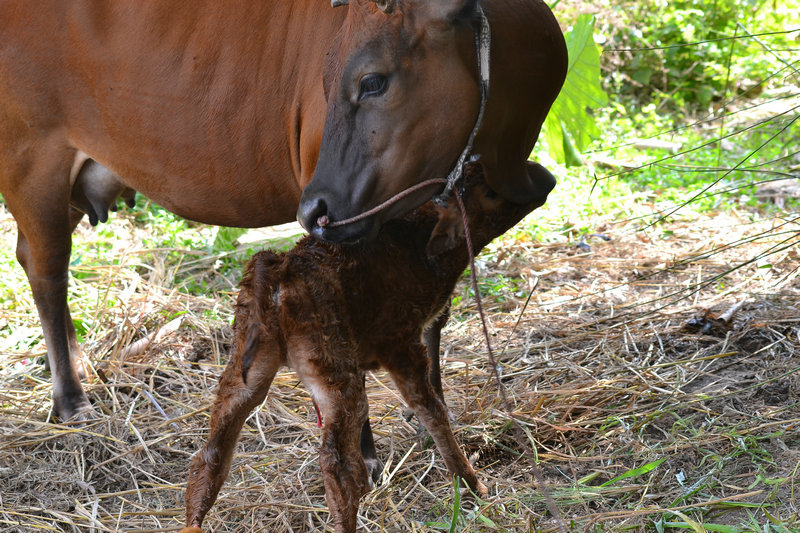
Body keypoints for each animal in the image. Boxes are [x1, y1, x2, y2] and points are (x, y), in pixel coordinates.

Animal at [0, 0, 564, 420]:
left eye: (372, 81)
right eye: (329, 80)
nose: (315, 205)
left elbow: (437, 301)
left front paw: (430, 404)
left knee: (33, 256)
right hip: (31, 159)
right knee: (46, 267)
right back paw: (70, 398)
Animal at [181, 164, 556, 528]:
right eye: (490, 191)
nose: (547, 178)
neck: (419, 242)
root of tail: (279, 270)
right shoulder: (401, 344)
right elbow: (430, 408)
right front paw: (470, 483)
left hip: (247, 366)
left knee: (210, 455)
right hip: (332, 370)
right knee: (340, 468)